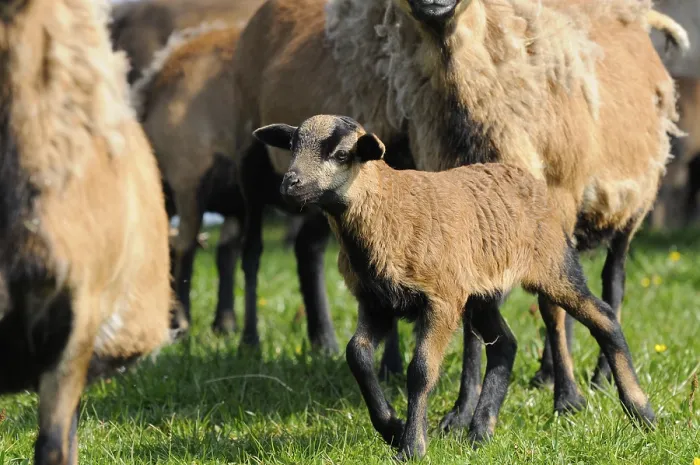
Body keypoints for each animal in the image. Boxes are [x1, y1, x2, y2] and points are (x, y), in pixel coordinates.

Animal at [253, 114, 656, 460]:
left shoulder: (441, 299)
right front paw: (392, 427)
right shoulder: (376, 303)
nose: (290, 185)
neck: (386, 211)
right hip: (481, 293)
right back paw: (480, 431)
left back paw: (642, 412)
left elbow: (421, 370)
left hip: (553, 264)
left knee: (603, 316)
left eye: (340, 154)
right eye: (292, 146)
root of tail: (521, 173)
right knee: (506, 345)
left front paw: (412, 446)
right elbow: (357, 355)